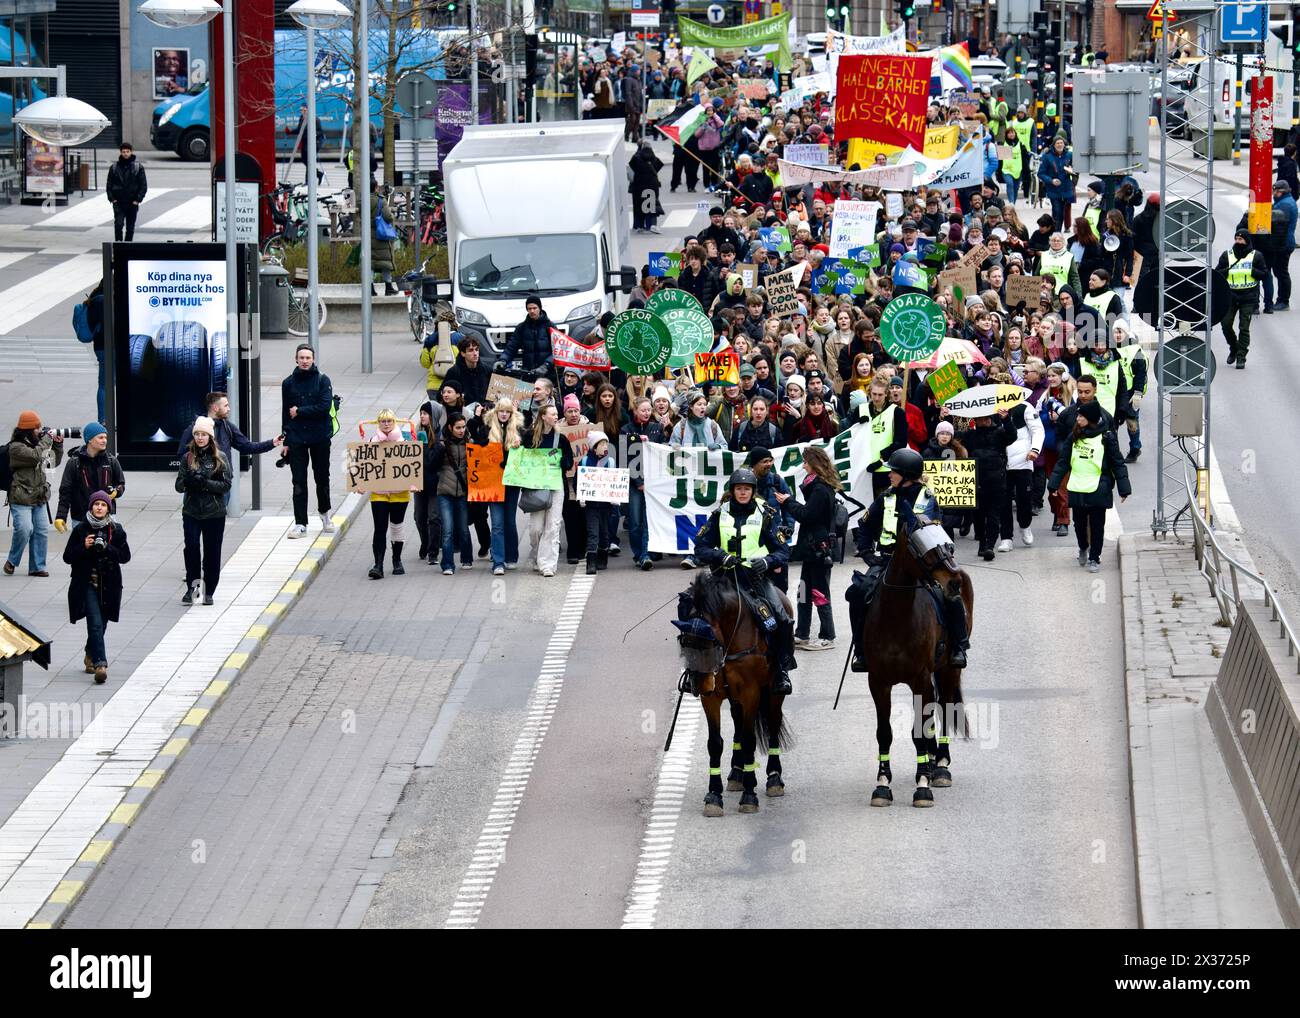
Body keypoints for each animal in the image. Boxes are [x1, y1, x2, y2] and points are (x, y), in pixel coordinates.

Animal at [681, 572, 790, 821]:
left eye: (709, 640)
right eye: (683, 641)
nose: (698, 684)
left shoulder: (751, 693)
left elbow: (750, 741)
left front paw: (750, 795)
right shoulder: (711, 698)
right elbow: (714, 743)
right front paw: (714, 795)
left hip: (772, 693)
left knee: (773, 723)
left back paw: (773, 777)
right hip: (734, 699)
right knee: (738, 723)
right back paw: (737, 772)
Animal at [857, 514, 972, 806]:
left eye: (947, 542)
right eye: (923, 546)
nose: (953, 582)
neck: (896, 617)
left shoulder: (919, 679)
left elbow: (920, 731)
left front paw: (922, 785)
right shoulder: (878, 682)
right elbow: (885, 732)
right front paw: (882, 783)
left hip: (948, 669)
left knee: (945, 706)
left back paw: (940, 765)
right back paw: (931, 761)